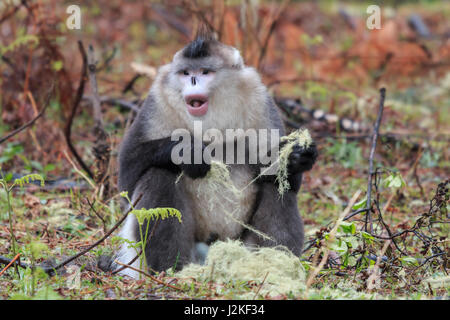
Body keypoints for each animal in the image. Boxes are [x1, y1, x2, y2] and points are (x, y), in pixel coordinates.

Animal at [105, 33, 316, 278]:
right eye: (186, 73)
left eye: (205, 72)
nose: (193, 81)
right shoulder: (156, 102)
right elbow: (126, 180)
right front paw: (186, 152)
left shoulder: (260, 100)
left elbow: (279, 174)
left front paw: (296, 156)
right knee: (158, 173)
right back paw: (172, 270)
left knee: (276, 185)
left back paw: (272, 268)